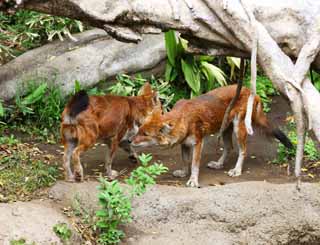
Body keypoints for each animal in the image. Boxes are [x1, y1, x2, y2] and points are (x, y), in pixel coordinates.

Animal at [132, 84, 292, 188]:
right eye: (139, 130)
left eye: (145, 134)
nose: (130, 140)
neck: (182, 119)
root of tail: (250, 91)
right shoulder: (184, 144)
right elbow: (185, 161)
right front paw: (184, 173)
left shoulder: (198, 142)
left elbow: (194, 164)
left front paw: (193, 180)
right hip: (225, 129)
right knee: (229, 147)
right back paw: (219, 164)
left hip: (238, 128)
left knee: (243, 150)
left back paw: (237, 170)